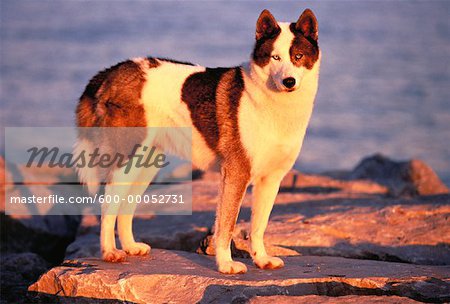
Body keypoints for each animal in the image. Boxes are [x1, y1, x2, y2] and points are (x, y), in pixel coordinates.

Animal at [74, 9, 320, 274]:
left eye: (298, 56)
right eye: (275, 57)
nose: (289, 82)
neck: (269, 101)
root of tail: (112, 71)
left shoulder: (271, 180)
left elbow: (258, 227)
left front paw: (261, 259)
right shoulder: (235, 174)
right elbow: (226, 226)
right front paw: (226, 264)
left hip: (144, 166)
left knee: (126, 207)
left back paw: (130, 247)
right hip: (126, 162)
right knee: (108, 206)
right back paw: (110, 252)